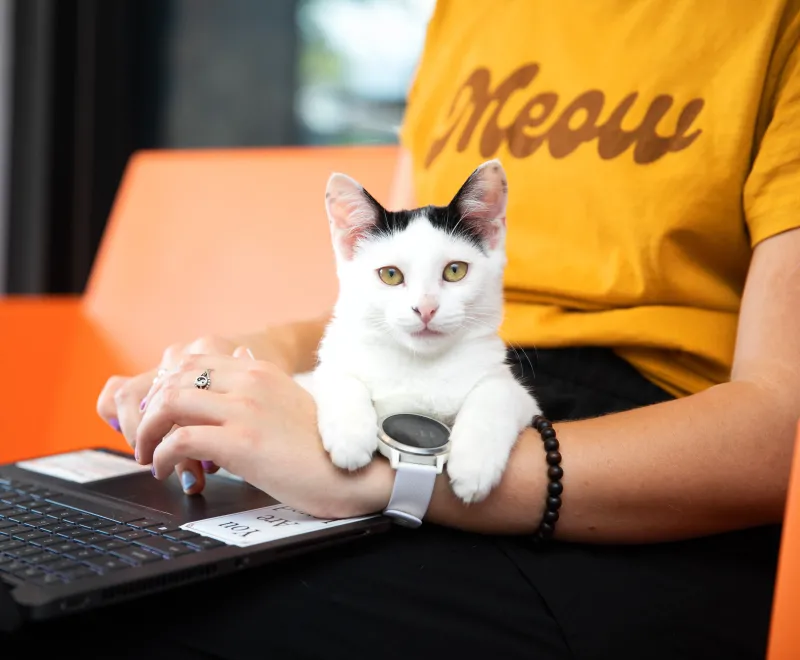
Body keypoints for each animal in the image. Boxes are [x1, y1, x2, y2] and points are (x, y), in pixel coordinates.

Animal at [304, 161, 540, 506]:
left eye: (455, 270)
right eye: (390, 275)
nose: (425, 308)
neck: (421, 365)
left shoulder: (525, 402)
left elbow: (497, 392)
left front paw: (475, 464)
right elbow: (335, 376)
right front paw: (350, 435)